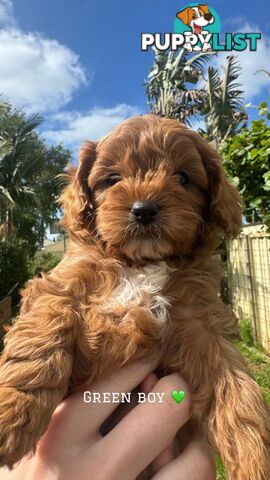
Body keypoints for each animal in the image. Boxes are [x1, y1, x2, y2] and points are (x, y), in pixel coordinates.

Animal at [0, 114, 270, 478]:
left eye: (183, 178)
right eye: (112, 179)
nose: (144, 209)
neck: (140, 263)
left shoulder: (199, 320)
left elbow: (237, 388)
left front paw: (256, 458)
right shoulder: (61, 283)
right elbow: (43, 332)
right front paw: (12, 410)